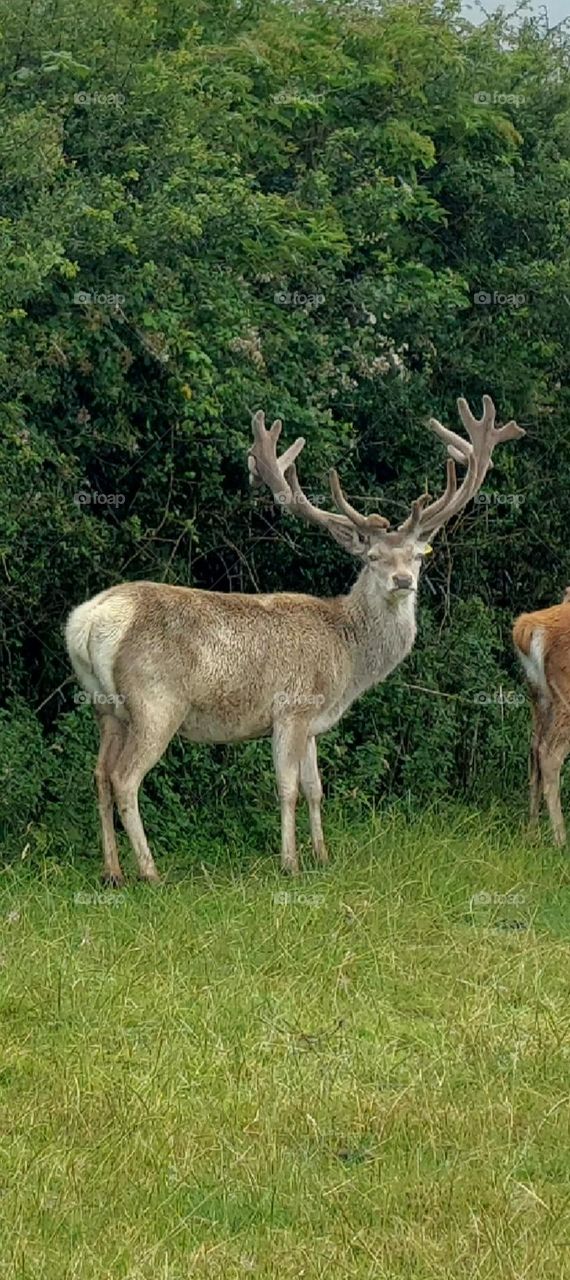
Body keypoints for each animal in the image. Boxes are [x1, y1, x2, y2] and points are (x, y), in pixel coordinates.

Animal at [65, 394, 520, 885]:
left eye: (418, 556)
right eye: (372, 557)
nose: (402, 581)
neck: (348, 656)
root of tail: (88, 621)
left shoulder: (313, 721)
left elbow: (315, 787)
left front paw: (322, 855)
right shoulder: (292, 707)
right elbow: (287, 788)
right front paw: (291, 863)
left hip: (104, 706)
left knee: (98, 773)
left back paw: (113, 871)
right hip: (155, 701)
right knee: (125, 777)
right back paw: (150, 872)